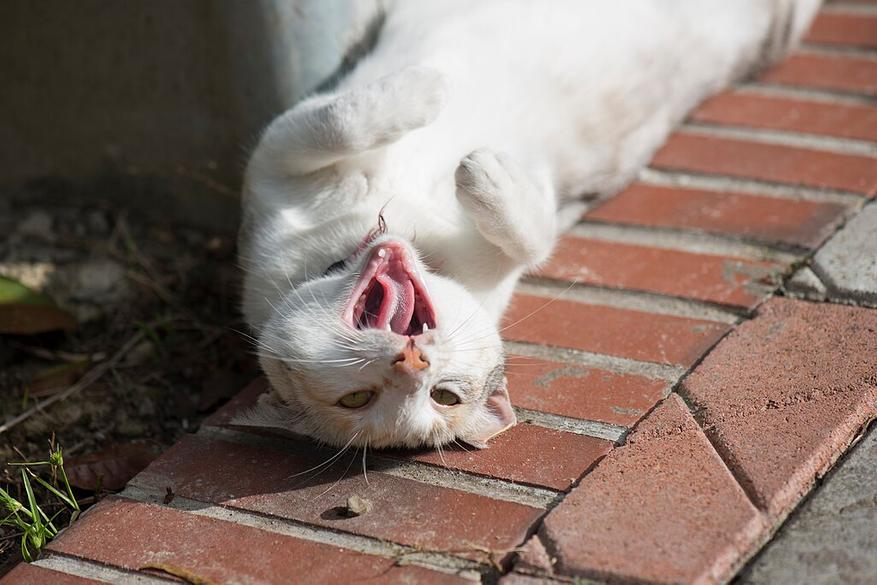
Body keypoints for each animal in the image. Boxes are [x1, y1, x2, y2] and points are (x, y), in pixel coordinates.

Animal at [237, 0, 821, 450]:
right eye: (357, 399)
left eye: (445, 395)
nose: (412, 360)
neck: (387, 229)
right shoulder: (280, 153)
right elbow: (344, 121)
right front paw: (434, 95)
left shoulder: (277, 159)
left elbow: (342, 119)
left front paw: (461, 142)